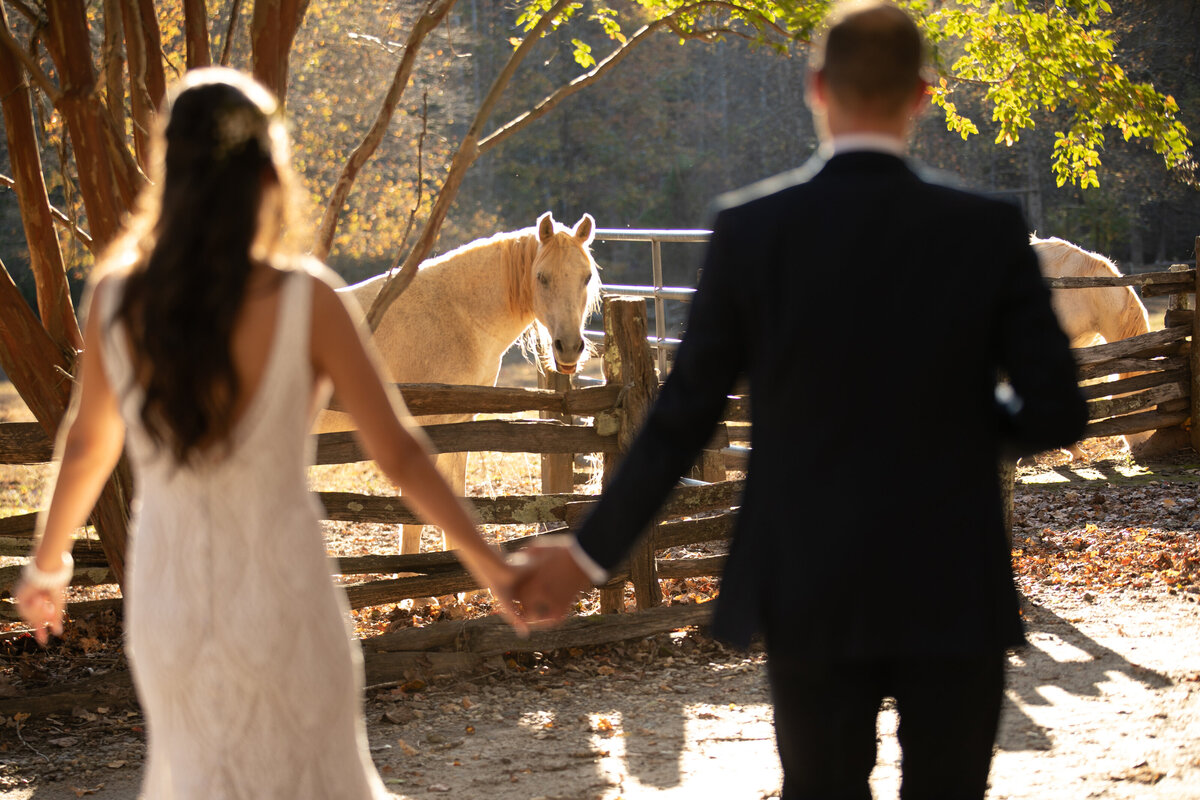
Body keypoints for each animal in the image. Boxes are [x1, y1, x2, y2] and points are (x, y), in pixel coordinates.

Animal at [319, 209, 600, 554]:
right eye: (542, 277)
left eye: (586, 277)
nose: (569, 347)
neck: (458, 316)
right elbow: (413, 524)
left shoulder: (459, 426)